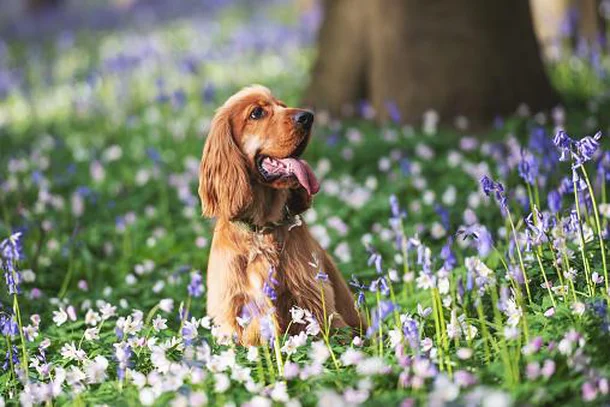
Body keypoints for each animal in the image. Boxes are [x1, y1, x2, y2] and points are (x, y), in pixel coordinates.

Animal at [197, 84, 364, 346]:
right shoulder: (233, 308)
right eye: (256, 113)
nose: (308, 117)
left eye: (283, 106)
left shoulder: (313, 299)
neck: (262, 228)